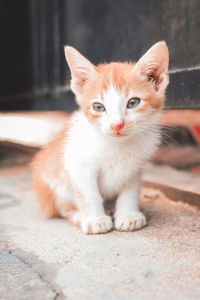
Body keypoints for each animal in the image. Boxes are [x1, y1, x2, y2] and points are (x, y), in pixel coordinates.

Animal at [32, 41, 169, 234]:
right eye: (98, 107)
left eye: (133, 102)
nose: (116, 125)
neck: (118, 145)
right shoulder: (78, 164)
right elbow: (88, 193)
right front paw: (94, 219)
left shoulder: (135, 166)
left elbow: (130, 190)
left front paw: (128, 215)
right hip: (51, 185)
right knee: (62, 208)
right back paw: (79, 215)